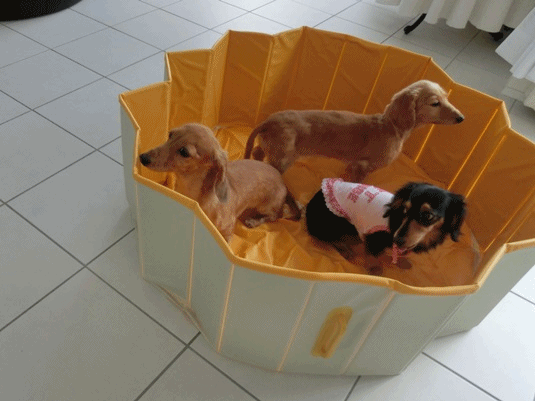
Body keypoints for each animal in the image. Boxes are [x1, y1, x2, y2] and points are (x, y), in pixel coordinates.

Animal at [139, 123, 301, 242]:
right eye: (170, 134)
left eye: (184, 152)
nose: (143, 157)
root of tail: (282, 181)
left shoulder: (227, 231)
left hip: (266, 206)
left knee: (276, 215)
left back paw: (254, 221)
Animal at [244, 80, 464, 182]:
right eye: (435, 103)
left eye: (446, 98)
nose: (461, 118)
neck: (390, 126)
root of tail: (269, 122)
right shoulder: (363, 166)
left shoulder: (352, 165)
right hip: (283, 158)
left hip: (269, 147)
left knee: (257, 152)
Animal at [305, 180, 467, 275]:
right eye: (405, 210)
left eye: (427, 215)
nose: (396, 239)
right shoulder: (375, 236)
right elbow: (373, 254)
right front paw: (375, 269)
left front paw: (401, 261)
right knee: (329, 238)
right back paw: (346, 250)